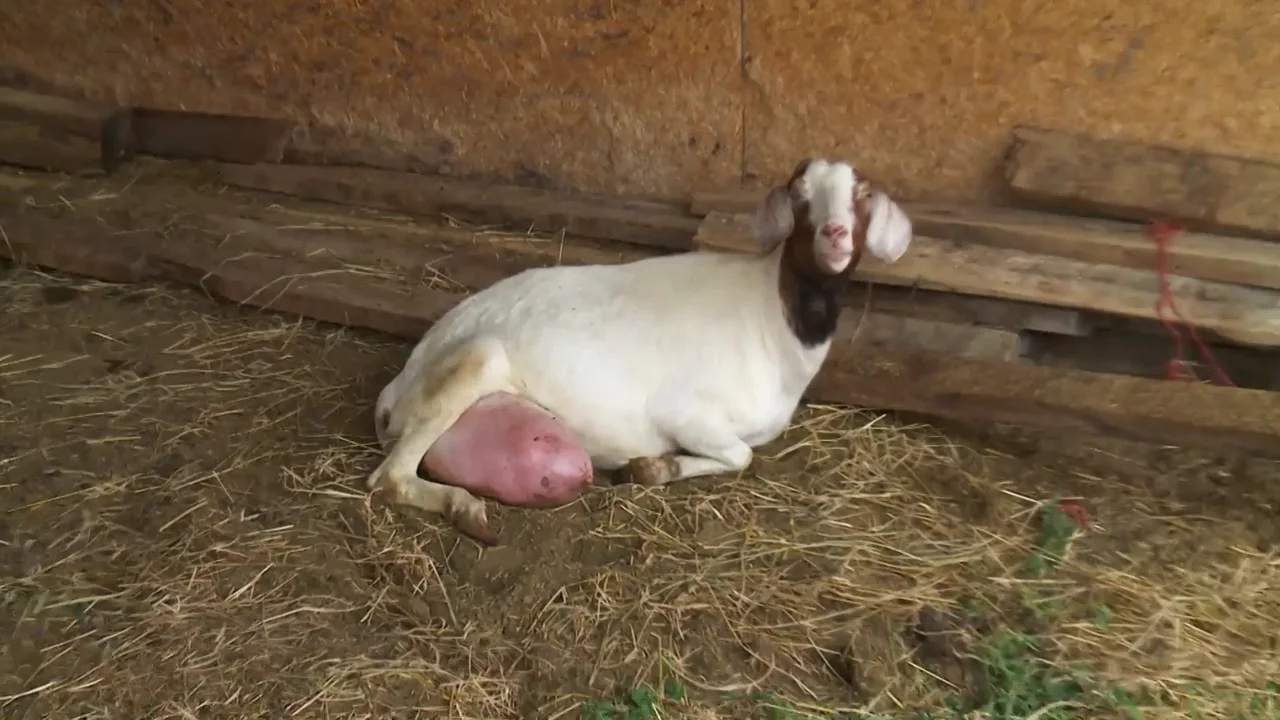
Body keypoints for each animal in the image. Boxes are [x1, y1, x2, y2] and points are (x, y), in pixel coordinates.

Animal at [369, 157, 913, 543]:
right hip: (472, 362)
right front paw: (651, 466)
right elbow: (740, 457)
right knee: (388, 479)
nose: (834, 234)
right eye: (800, 193)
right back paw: (465, 508)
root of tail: (396, 388)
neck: (776, 320)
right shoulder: (688, 413)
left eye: (862, 193)